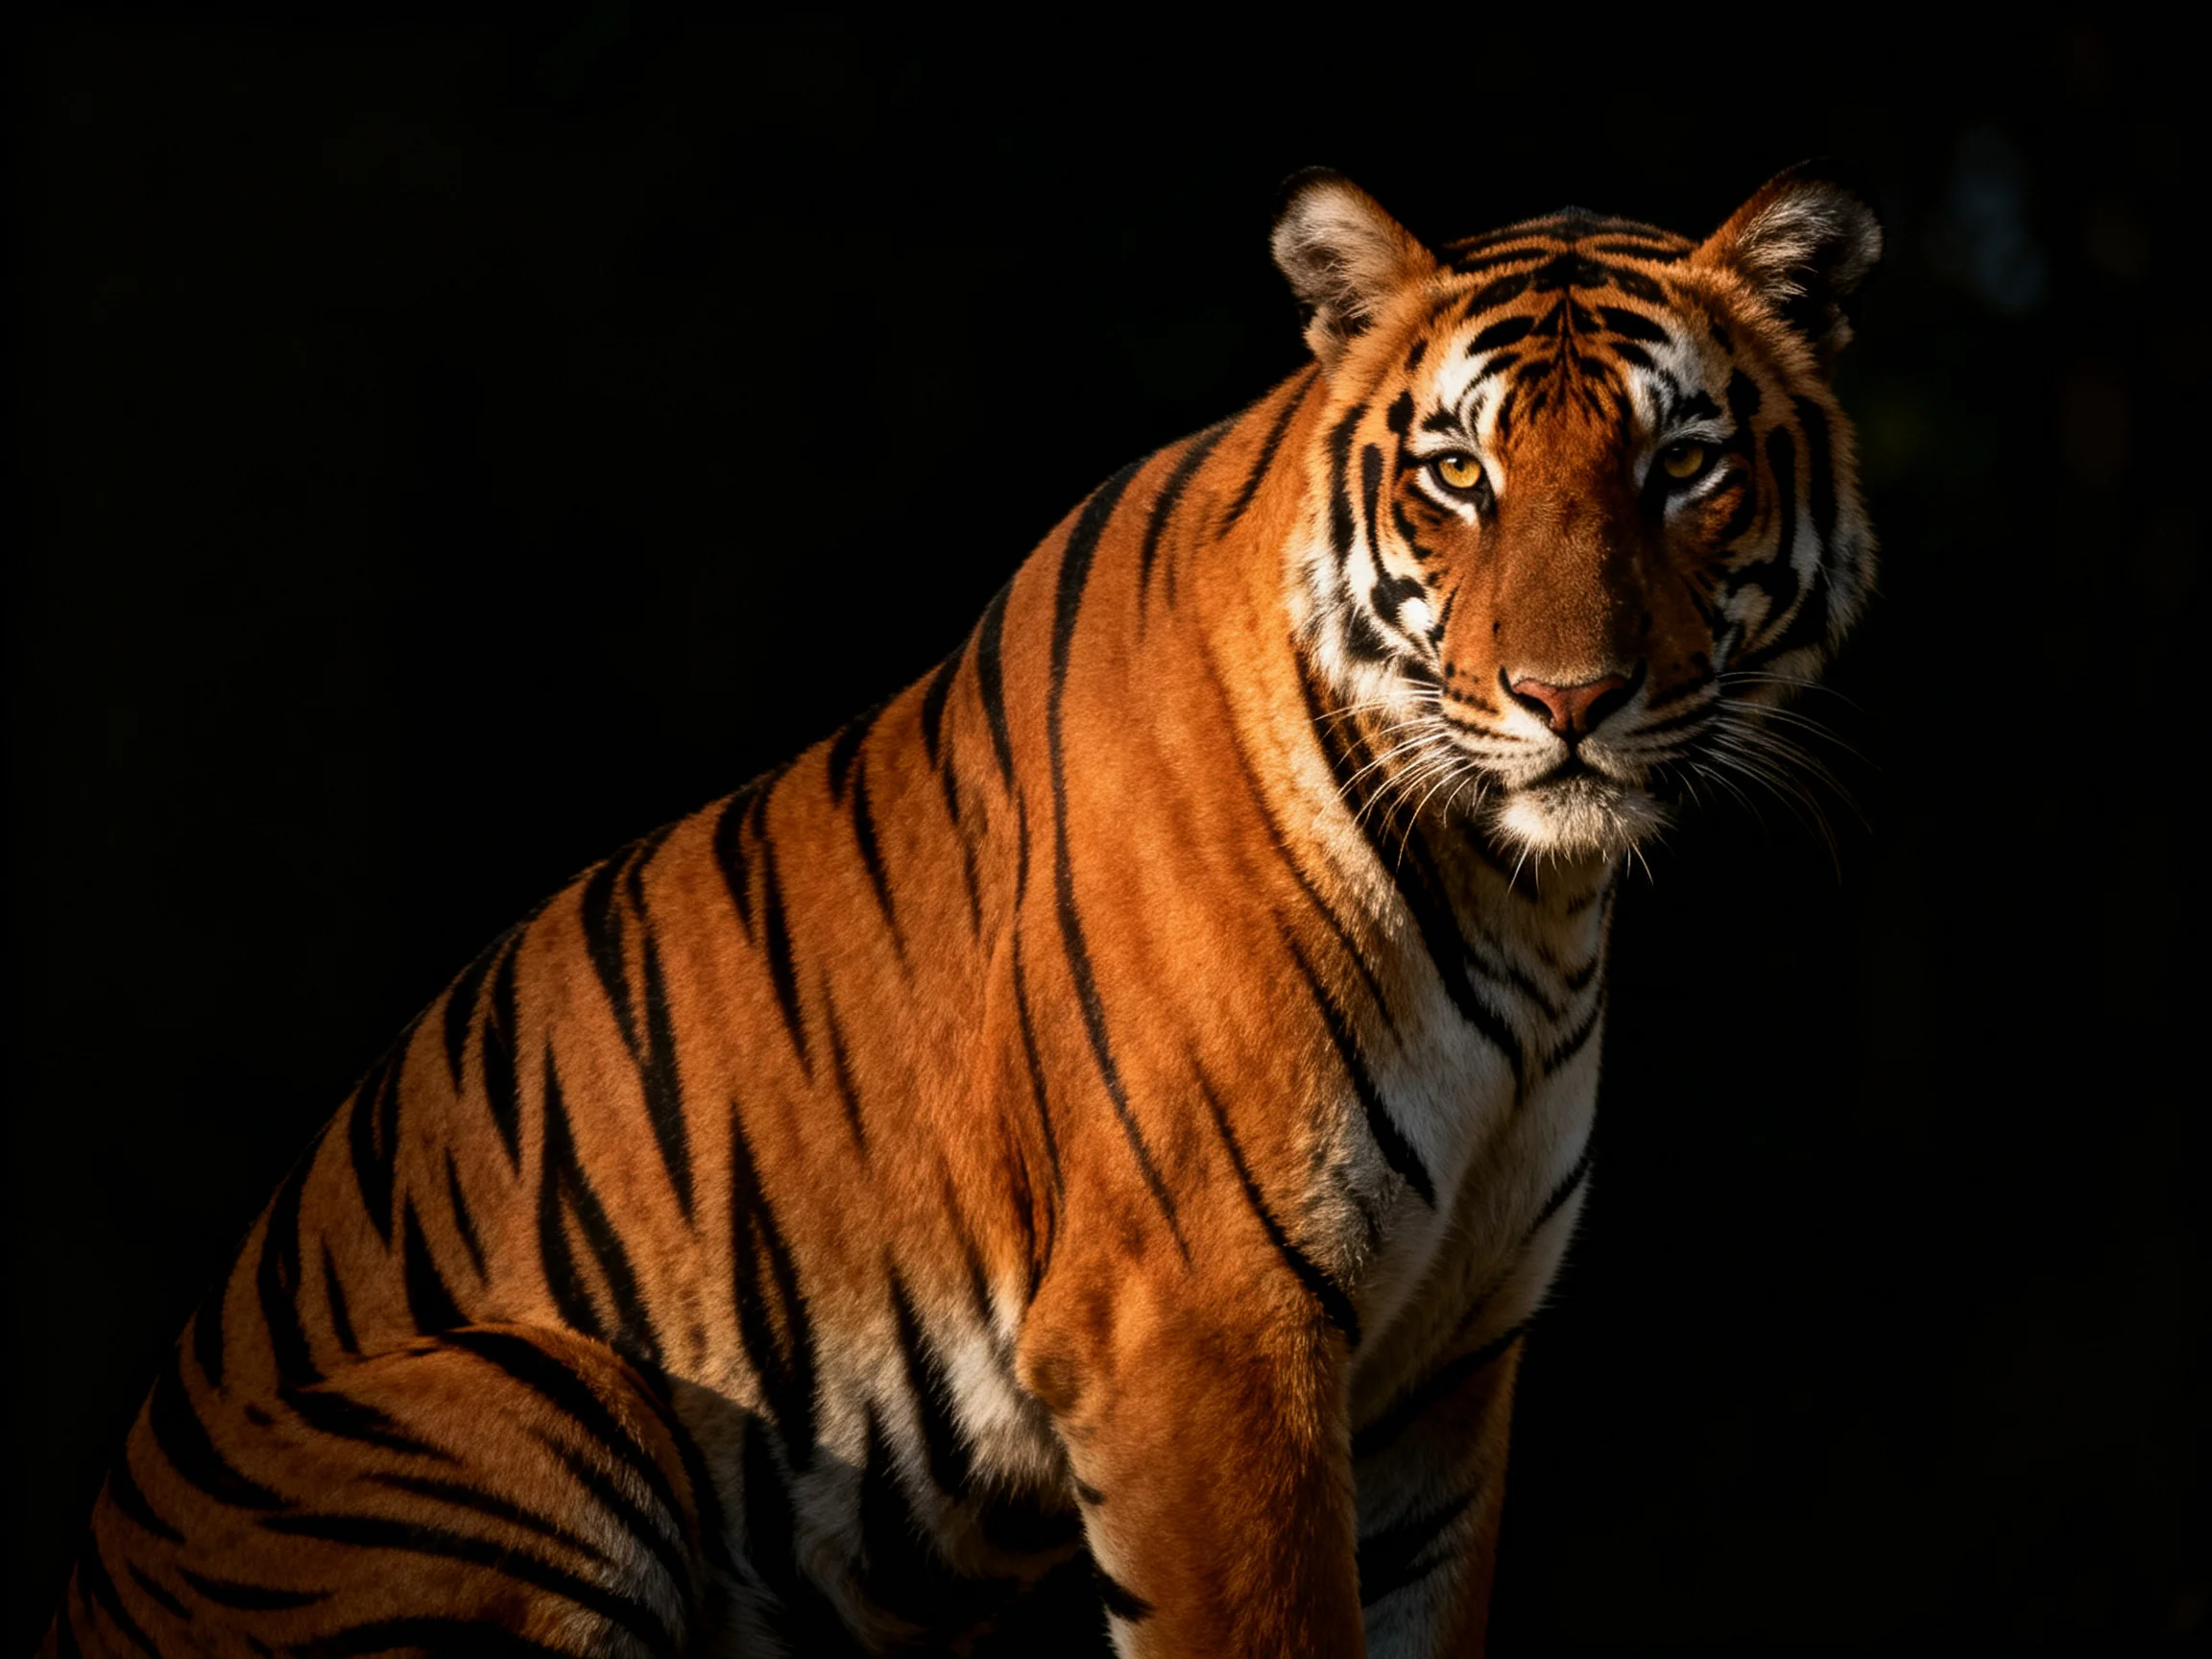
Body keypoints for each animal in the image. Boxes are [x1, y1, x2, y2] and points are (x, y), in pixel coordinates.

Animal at [44, 162, 1880, 1658]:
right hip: (533, 1392)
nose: (1566, 700)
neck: (1525, 894)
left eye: (1683, 464)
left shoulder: (1444, 1372)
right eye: (1456, 475)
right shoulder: (1200, 1327)